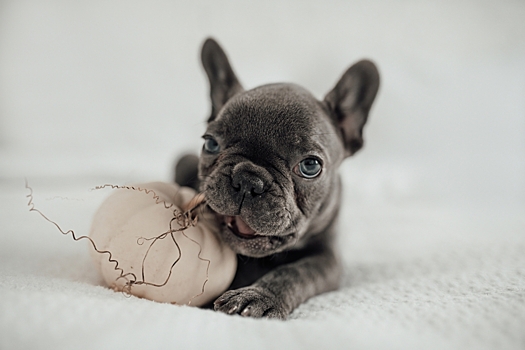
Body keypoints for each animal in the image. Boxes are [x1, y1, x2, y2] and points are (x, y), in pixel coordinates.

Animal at [175, 38, 376, 320]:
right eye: (211, 143)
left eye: (311, 166)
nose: (247, 180)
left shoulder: (328, 260)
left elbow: (296, 273)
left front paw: (259, 297)